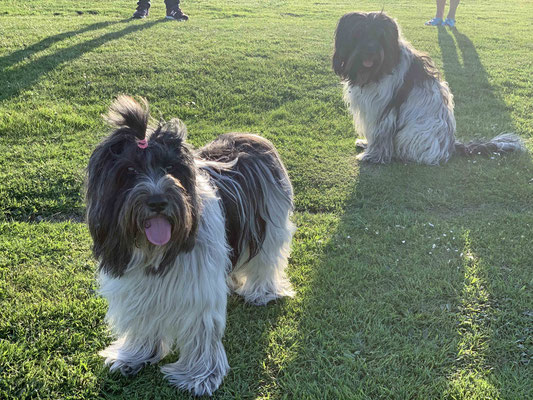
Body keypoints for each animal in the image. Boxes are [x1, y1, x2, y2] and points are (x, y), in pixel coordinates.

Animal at [87, 95, 296, 396]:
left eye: (169, 168)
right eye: (129, 171)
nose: (158, 201)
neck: (156, 252)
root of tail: (250, 137)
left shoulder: (199, 292)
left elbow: (201, 331)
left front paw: (200, 376)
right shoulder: (137, 289)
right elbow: (142, 322)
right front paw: (134, 357)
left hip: (270, 226)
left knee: (265, 262)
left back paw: (261, 292)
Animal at [330, 12, 520, 164]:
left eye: (380, 36)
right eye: (359, 33)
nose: (370, 51)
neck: (377, 70)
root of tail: (450, 147)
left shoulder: (384, 109)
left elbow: (380, 135)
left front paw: (373, 156)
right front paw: (366, 143)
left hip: (410, 134)